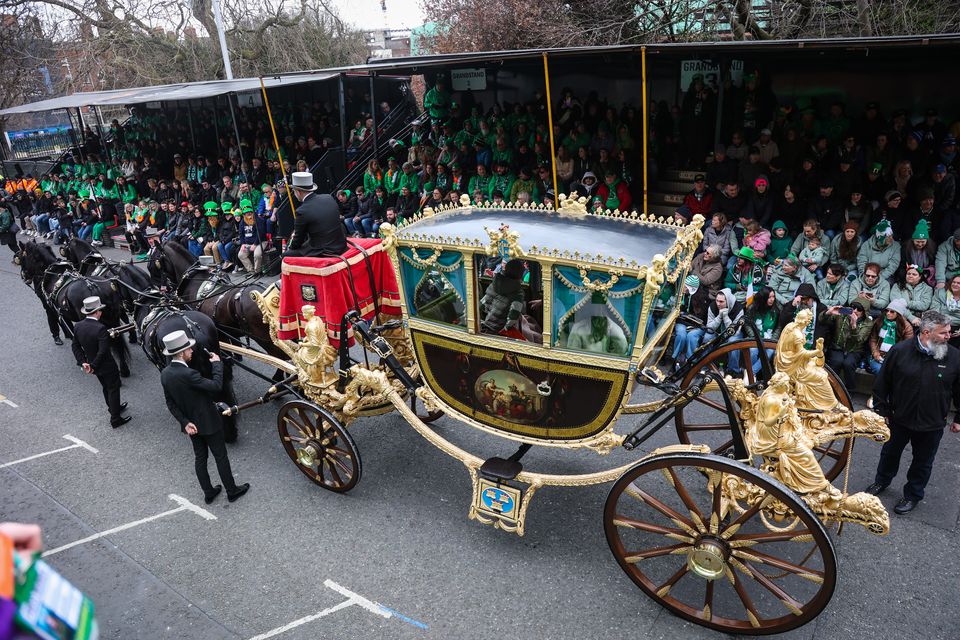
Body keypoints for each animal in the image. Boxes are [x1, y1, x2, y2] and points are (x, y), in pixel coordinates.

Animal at [18, 239, 131, 376]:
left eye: (23, 257)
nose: (23, 276)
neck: (54, 275)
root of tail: (93, 286)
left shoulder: (58, 312)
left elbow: (72, 335)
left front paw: (80, 359)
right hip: (114, 318)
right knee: (117, 340)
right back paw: (124, 369)